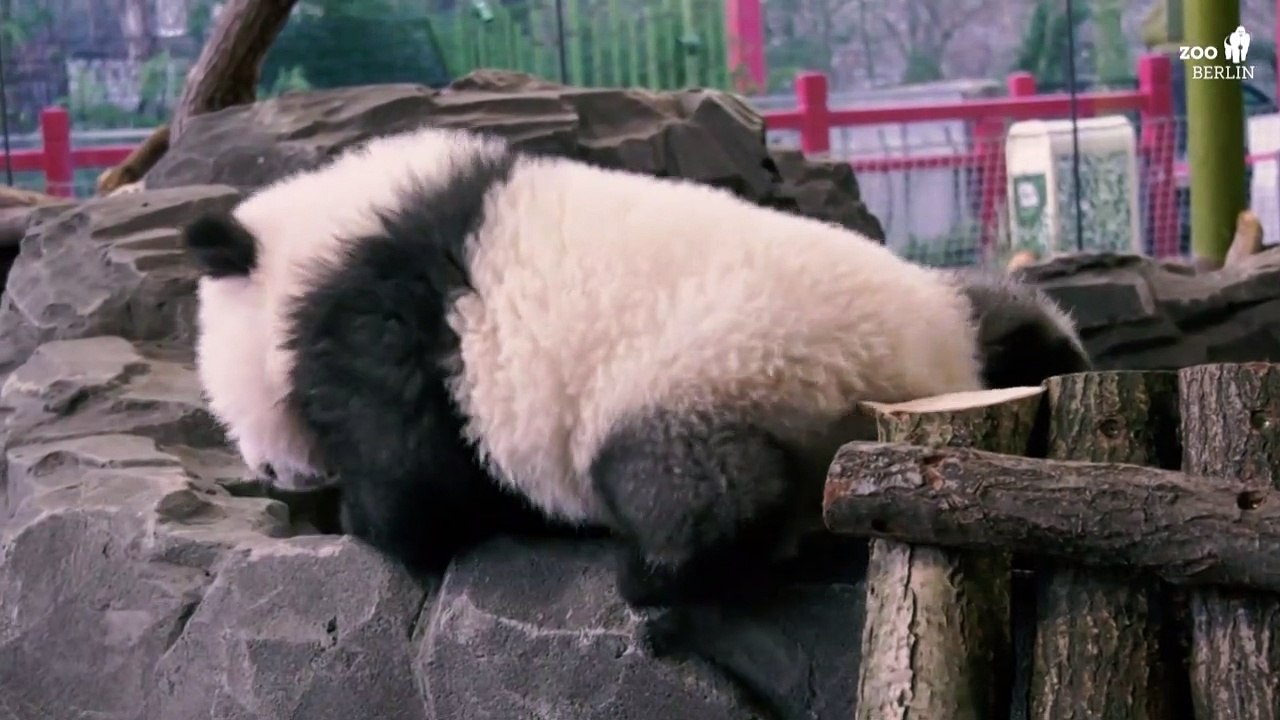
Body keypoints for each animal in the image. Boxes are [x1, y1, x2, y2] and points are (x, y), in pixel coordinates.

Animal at [181, 125, 1091, 613]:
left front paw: (364, 521)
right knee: (1007, 313)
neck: (319, 240)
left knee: (697, 486)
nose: (270, 472)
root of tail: (915, 359)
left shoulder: (386, 328)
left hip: (719, 369)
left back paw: (656, 574)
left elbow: (414, 478)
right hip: (933, 320)